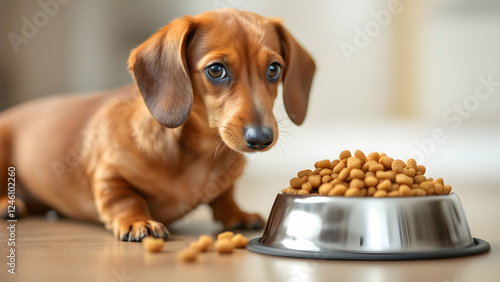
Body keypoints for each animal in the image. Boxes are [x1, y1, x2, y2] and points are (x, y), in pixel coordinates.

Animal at [0, 9, 314, 241]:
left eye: (274, 69)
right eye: (216, 70)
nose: (261, 139)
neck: (199, 151)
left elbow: (225, 196)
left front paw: (237, 213)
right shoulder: (108, 174)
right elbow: (125, 199)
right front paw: (138, 221)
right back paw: (7, 204)